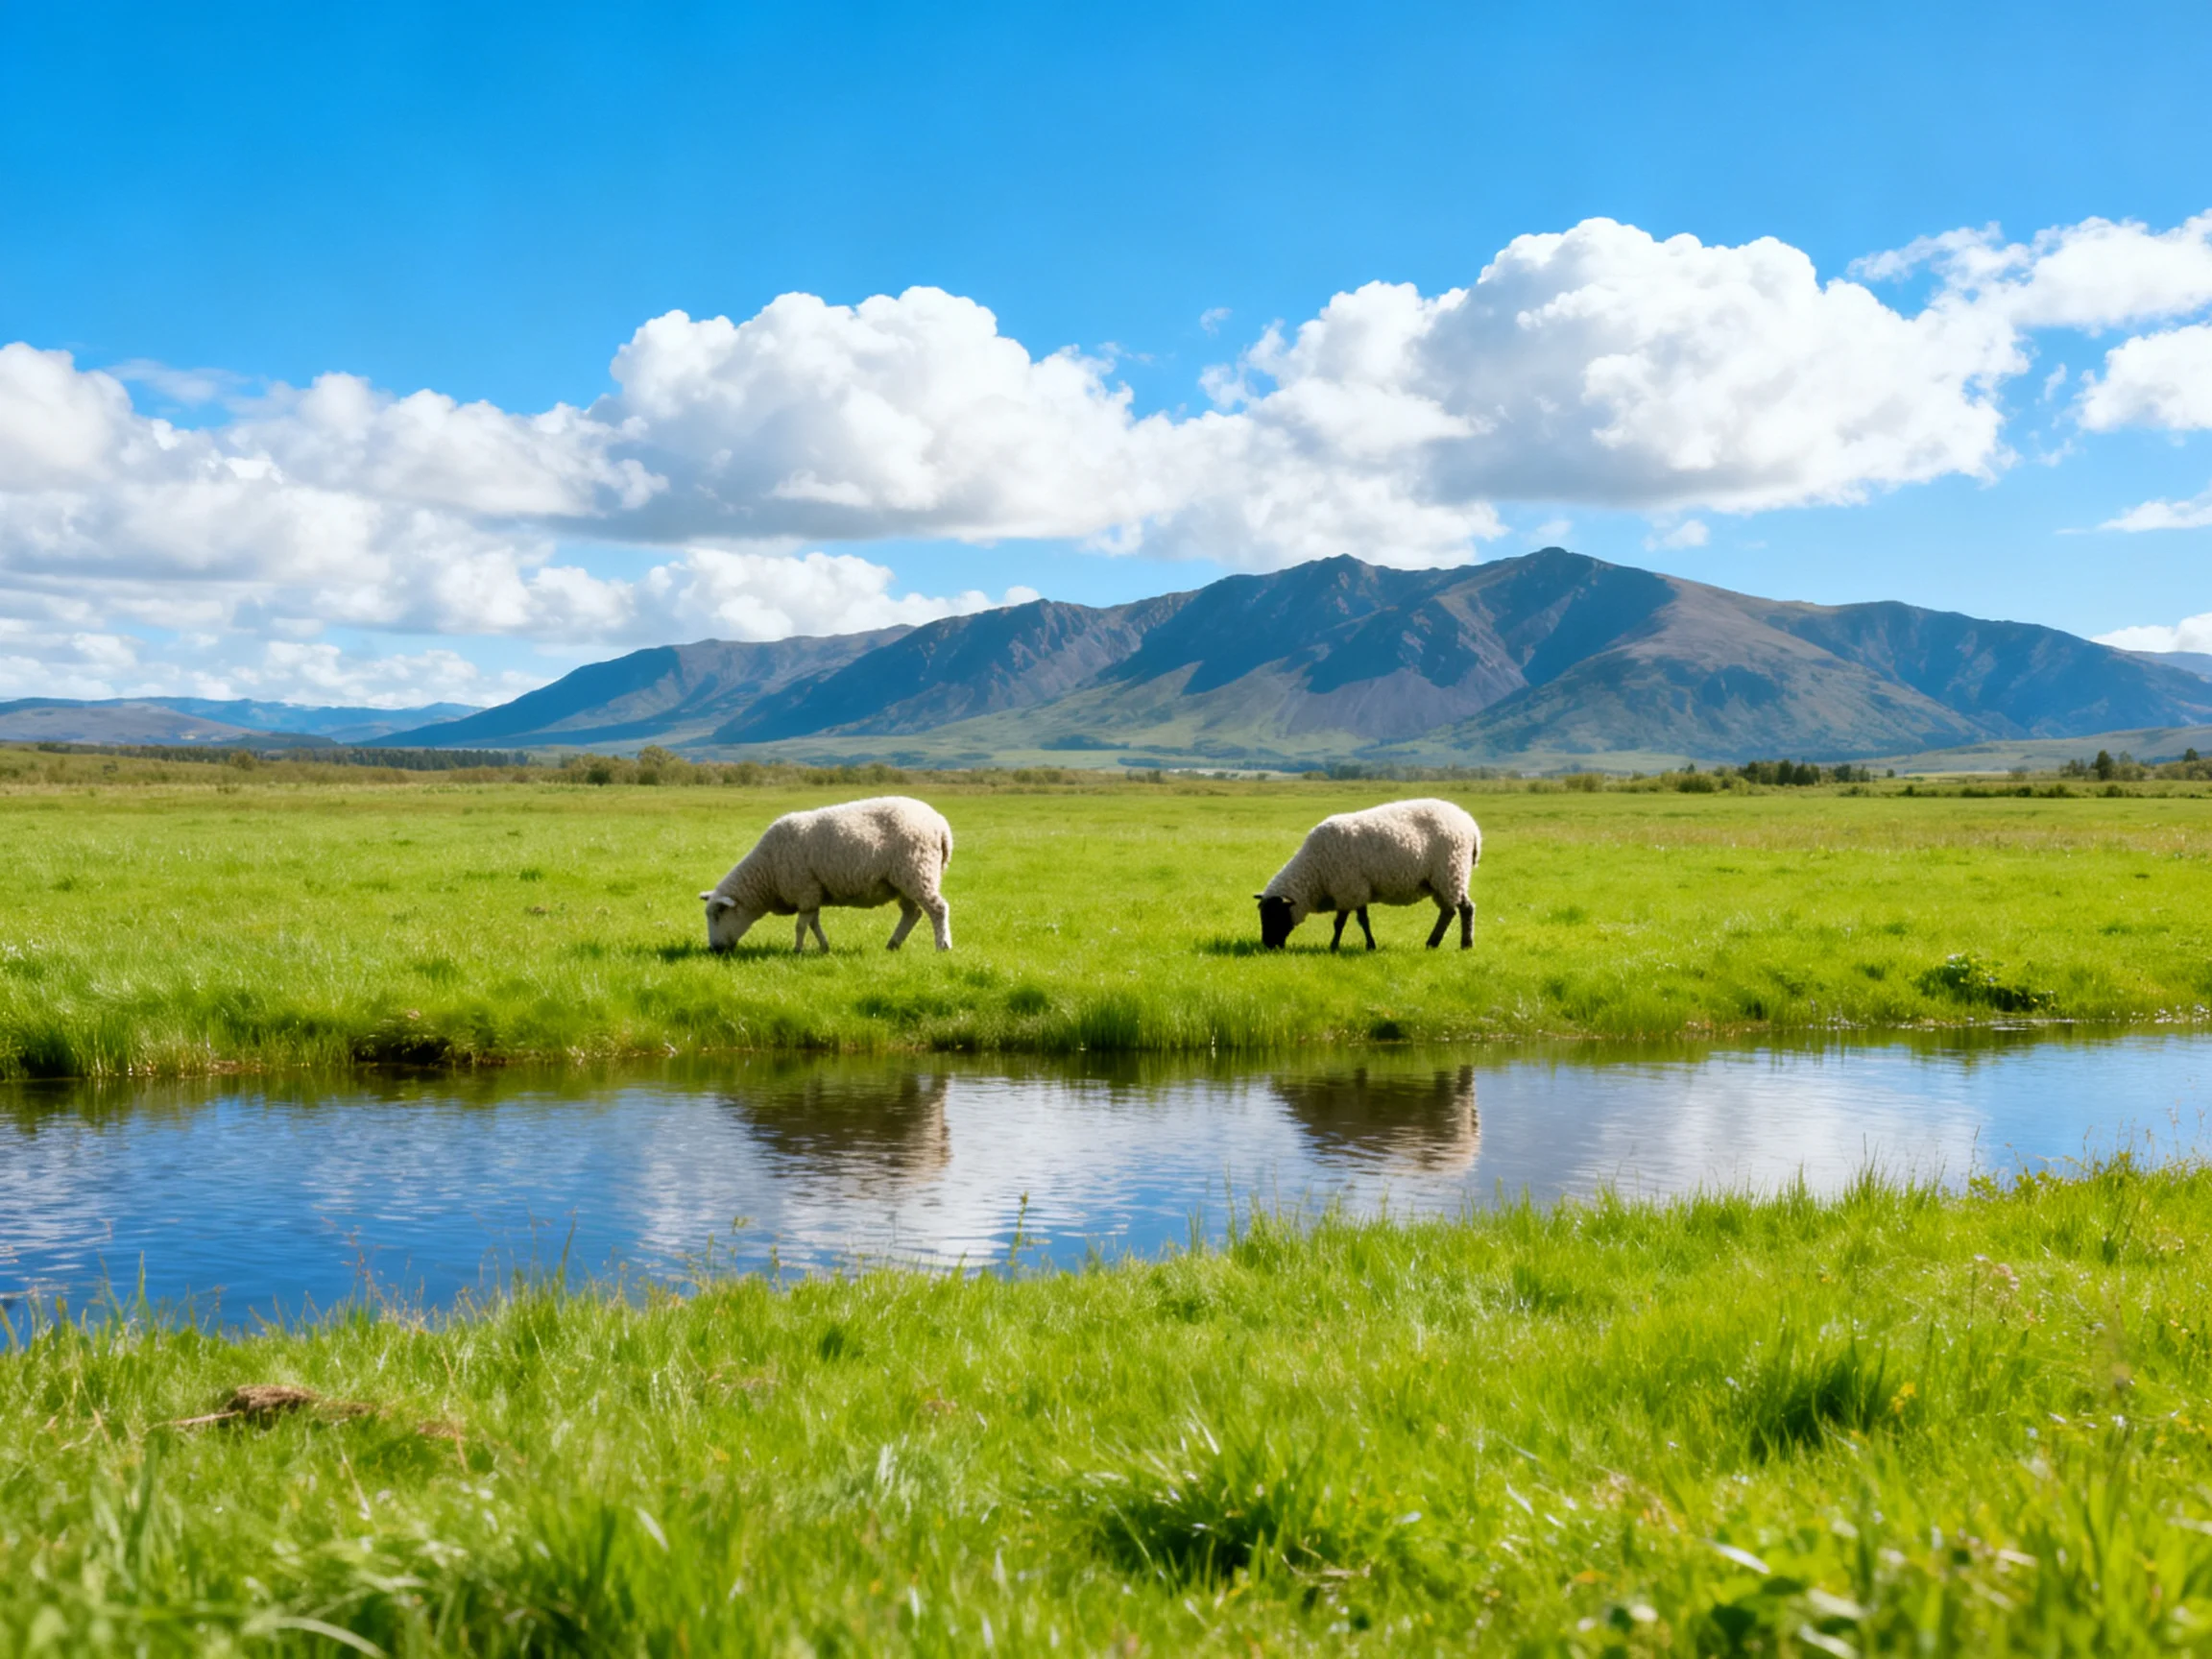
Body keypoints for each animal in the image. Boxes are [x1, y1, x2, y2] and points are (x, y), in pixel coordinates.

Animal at [700, 795, 953, 954]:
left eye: (718, 916)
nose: (714, 949)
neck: (766, 872)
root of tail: (941, 824)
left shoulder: (805, 890)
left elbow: (801, 926)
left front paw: (797, 950)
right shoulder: (813, 893)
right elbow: (813, 924)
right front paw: (823, 947)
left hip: (918, 871)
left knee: (937, 909)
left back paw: (942, 945)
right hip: (903, 881)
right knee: (912, 913)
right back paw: (893, 944)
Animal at [1256, 798, 1480, 951]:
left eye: (1274, 915)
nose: (1268, 945)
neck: (1315, 870)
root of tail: (1472, 826)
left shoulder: (1349, 888)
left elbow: (1345, 922)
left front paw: (1337, 947)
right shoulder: (1355, 890)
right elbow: (1357, 920)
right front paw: (1361, 945)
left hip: (1451, 871)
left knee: (1463, 909)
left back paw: (1463, 944)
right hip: (1444, 878)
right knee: (1450, 911)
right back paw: (1435, 943)